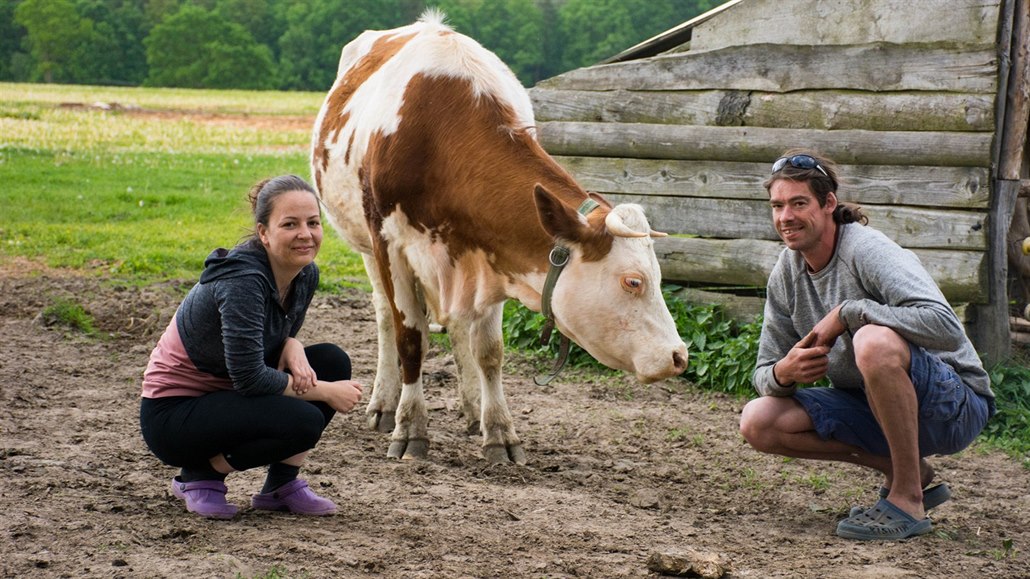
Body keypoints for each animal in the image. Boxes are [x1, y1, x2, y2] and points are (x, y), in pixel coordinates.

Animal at [309, 11, 688, 461]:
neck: (437, 130)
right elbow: (411, 340)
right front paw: (411, 427)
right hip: (365, 244)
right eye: (632, 281)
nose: (678, 356)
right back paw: (385, 404)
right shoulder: (391, 245)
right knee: (385, 315)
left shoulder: (491, 254)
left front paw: (499, 431)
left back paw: (473, 409)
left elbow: (489, 352)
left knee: (458, 328)